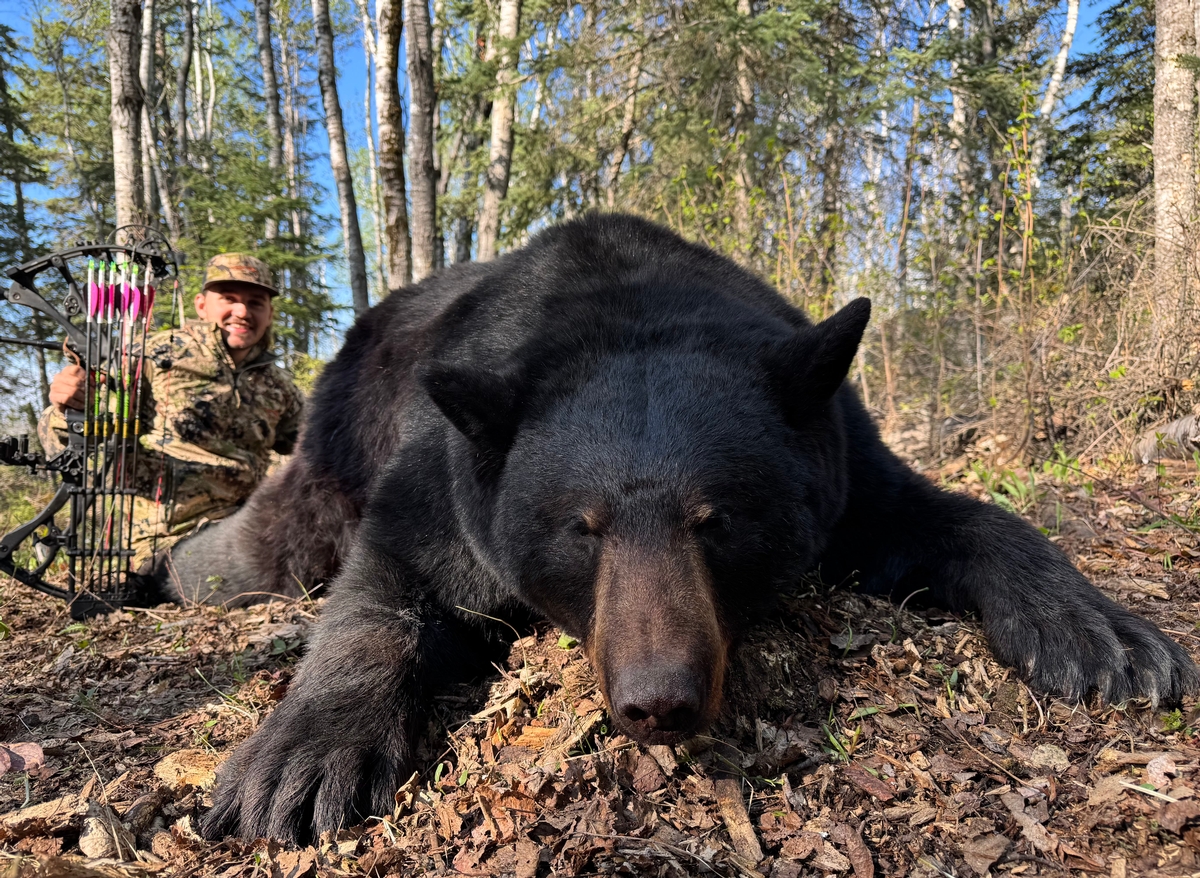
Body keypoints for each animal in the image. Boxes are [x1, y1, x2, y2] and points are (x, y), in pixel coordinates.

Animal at [175, 213, 1198, 844]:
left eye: (717, 520)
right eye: (581, 527)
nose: (657, 699)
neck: (618, 308)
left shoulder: (836, 454)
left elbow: (957, 517)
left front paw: (1107, 637)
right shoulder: (445, 475)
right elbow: (385, 589)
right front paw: (301, 762)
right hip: (337, 439)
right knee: (264, 544)